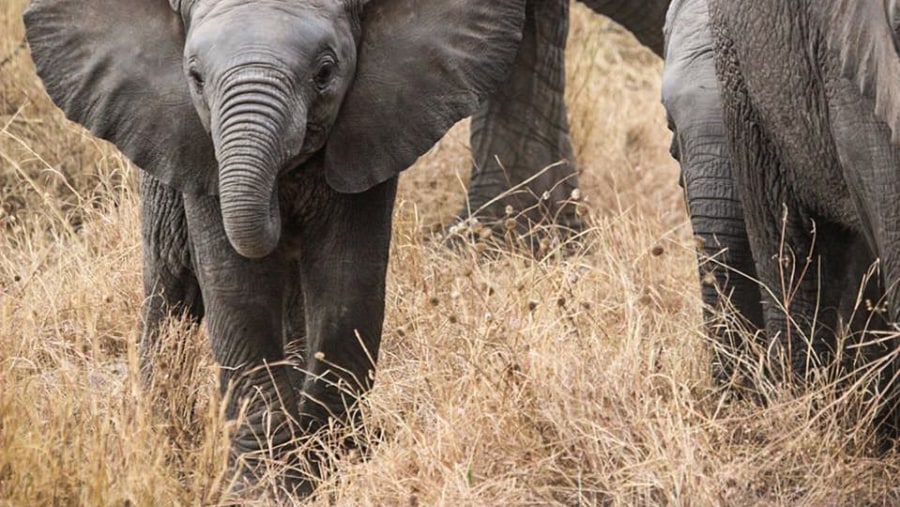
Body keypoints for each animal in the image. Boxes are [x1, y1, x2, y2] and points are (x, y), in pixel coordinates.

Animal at [24, 0, 528, 496]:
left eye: (325, 72)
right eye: (195, 77)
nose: (280, 207)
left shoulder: (374, 130)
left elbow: (347, 285)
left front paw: (331, 472)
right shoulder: (197, 149)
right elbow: (237, 290)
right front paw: (264, 489)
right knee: (171, 288)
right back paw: (158, 439)